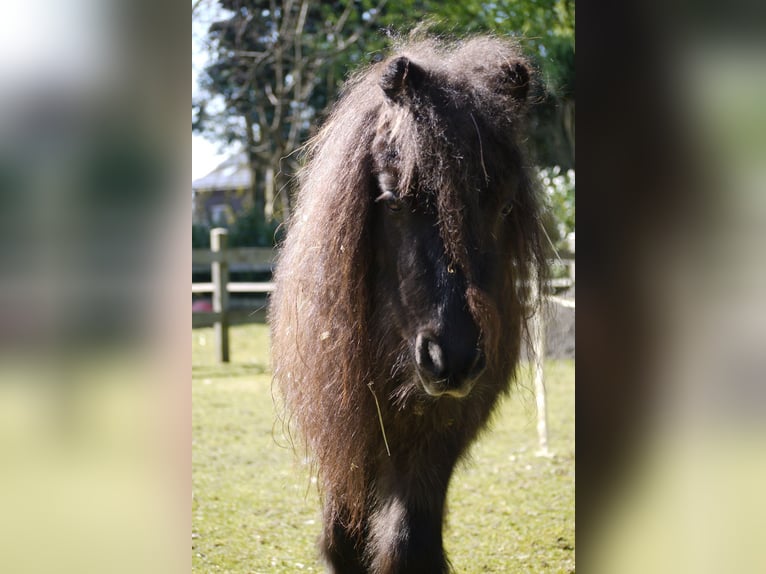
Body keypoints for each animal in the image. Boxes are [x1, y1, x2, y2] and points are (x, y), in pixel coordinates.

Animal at [272, 36, 548, 574]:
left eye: (505, 207)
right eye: (395, 199)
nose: (453, 359)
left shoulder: (436, 436)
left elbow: (408, 544)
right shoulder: (347, 426)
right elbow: (343, 539)